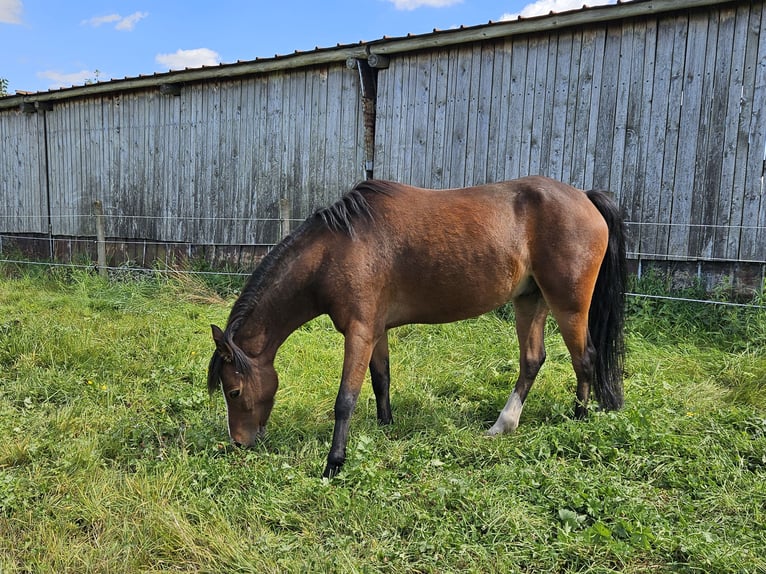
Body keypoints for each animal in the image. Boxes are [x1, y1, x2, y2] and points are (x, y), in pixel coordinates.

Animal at [208, 176, 627, 478]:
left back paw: (577, 417)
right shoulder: (376, 330)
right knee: (532, 360)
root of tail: (585, 197)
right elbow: (381, 380)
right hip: (530, 301)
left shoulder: (358, 332)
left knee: (584, 357)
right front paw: (385, 426)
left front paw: (334, 463)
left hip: (568, 305)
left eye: (233, 391)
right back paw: (504, 424)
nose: (239, 443)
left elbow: (345, 399)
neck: (337, 250)